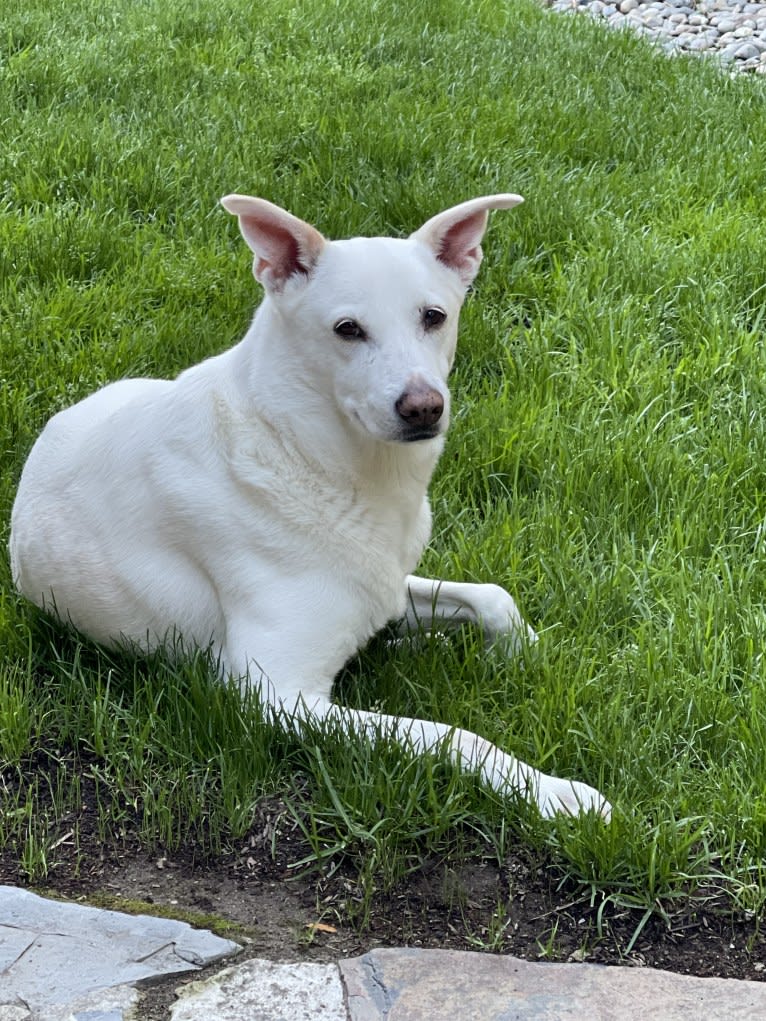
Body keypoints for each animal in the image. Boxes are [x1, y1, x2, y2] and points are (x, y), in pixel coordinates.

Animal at [9, 195, 612, 820]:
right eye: (347, 330)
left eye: (434, 316)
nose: (424, 407)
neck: (308, 451)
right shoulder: (276, 694)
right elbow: (446, 734)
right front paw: (556, 794)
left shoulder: (385, 583)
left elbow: (493, 598)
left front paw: (536, 657)